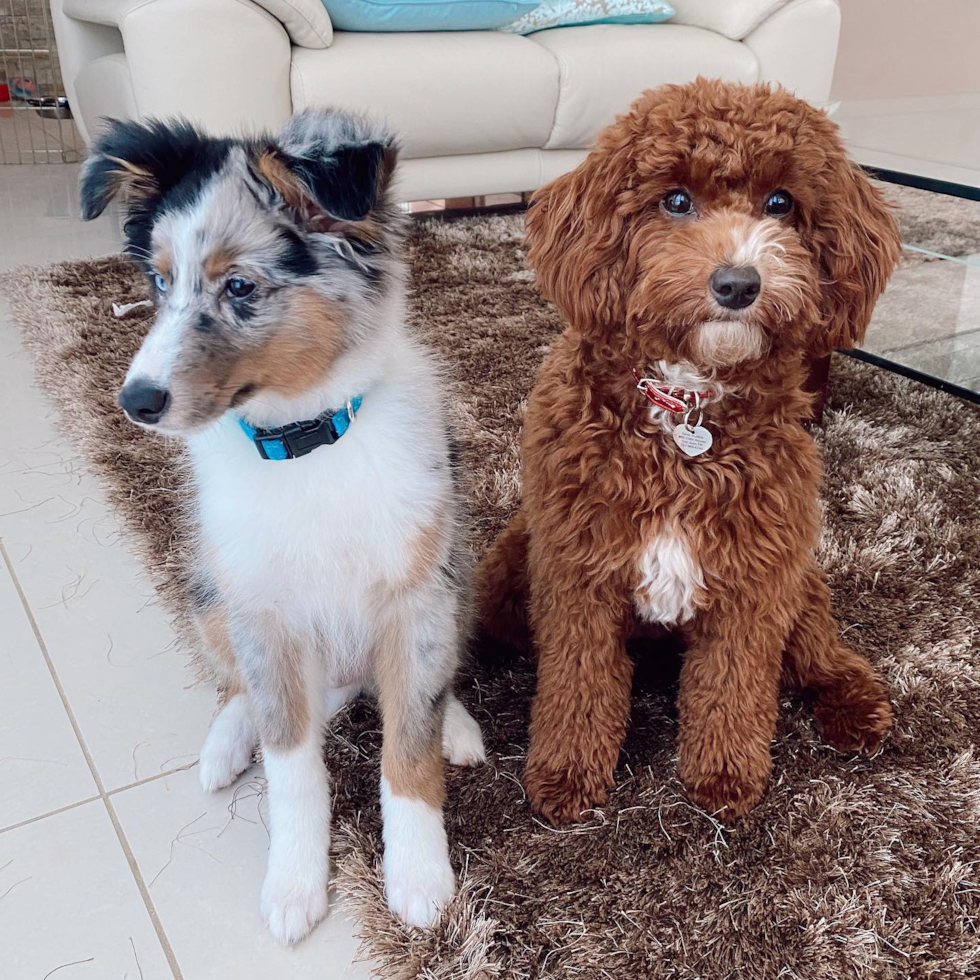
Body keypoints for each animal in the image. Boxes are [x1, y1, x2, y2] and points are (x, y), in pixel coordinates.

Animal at [478, 78, 900, 828]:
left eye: (780, 203)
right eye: (675, 200)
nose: (738, 284)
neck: (685, 405)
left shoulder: (755, 576)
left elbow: (732, 684)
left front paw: (724, 777)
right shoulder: (578, 570)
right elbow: (579, 680)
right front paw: (566, 775)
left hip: (798, 575)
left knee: (818, 648)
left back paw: (856, 704)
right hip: (511, 567)